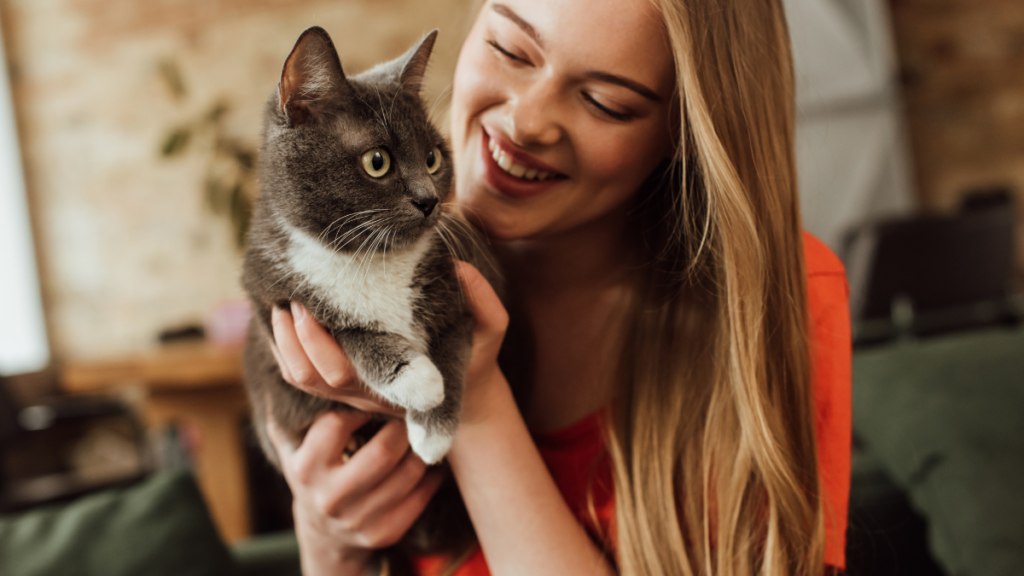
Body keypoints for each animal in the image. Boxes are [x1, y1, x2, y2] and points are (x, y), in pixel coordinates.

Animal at [240, 24, 495, 471]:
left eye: (433, 159)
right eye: (377, 161)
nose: (429, 200)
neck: (372, 259)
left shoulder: (459, 287)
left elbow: (452, 345)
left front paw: (433, 428)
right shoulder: (271, 297)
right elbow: (348, 329)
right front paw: (415, 379)